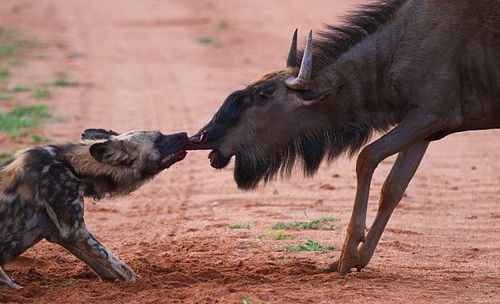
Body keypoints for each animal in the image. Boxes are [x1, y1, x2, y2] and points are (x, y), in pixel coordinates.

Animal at [0, 128, 188, 288]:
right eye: (159, 139)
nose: (185, 133)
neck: (72, 167)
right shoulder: (76, 232)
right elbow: (121, 266)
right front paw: (139, 285)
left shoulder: (61, 234)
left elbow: (106, 268)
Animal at [187, 0, 500, 274]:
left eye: (263, 93)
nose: (204, 135)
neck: (398, 49)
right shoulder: (425, 128)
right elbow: (394, 187)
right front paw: (358, 257)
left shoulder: (430, 115)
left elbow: (367, 157)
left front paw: (348, 254)